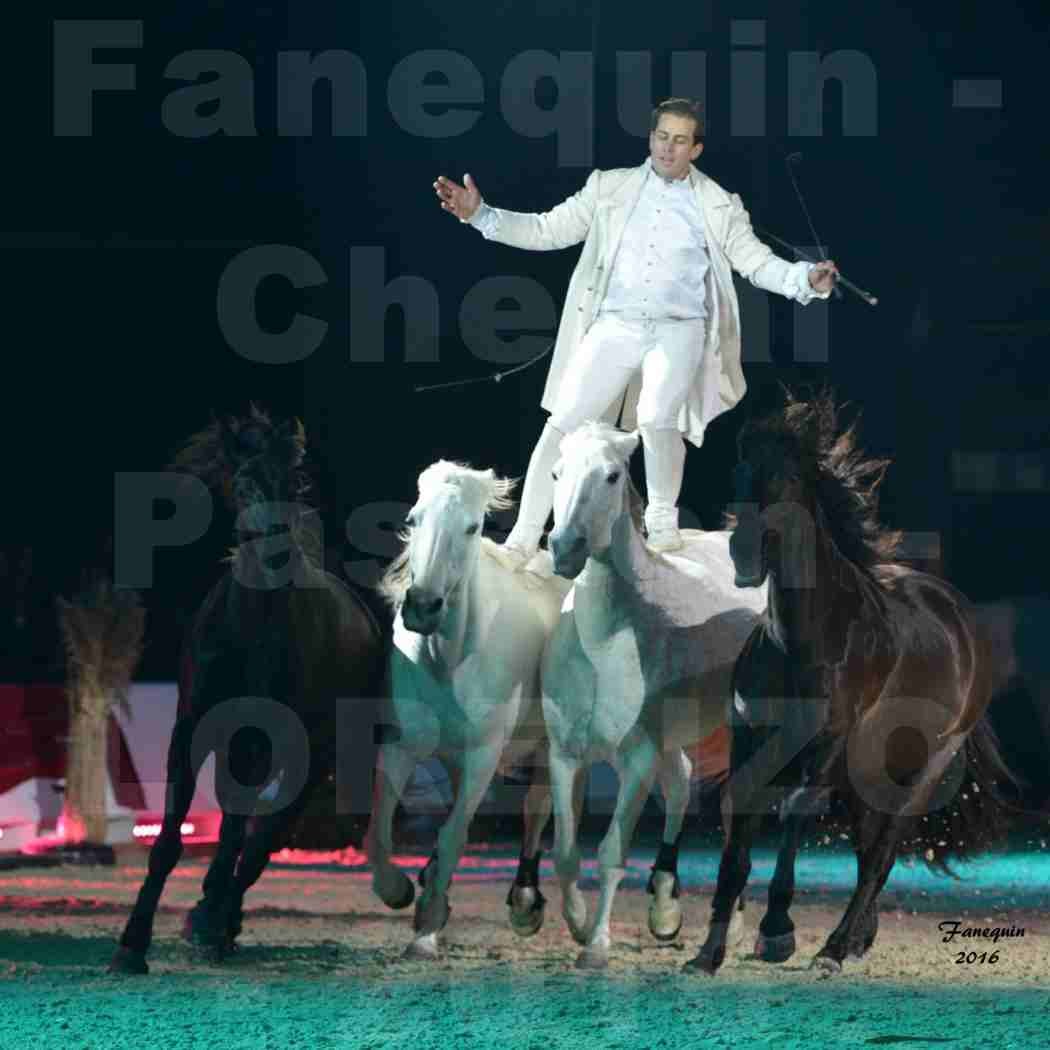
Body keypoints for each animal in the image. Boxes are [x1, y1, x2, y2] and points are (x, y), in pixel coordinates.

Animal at [108, 405, 386, 970]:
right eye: (242, 481)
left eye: (293, 480)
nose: (275, 552)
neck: (250, 630)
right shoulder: (194, 730)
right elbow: (172, 840)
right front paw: (133, 943)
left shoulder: (267, 740)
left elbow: (243, 829)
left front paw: (209, 920)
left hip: (311, 751)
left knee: (265, 835)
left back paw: (219, 917)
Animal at [367, 464, 571, 957]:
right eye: (413, 518)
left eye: (473, 527)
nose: (422, 607)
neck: (447, 659)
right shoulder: (402, 744)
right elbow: (378, 832)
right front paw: (401, 891)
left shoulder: (484, 754)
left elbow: (455, 833)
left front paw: (425, 930)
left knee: (538, 806)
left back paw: (525, 901)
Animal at [541, 422, 764, 970]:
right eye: (556, 472)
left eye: (611, 475)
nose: (565, 548)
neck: (606, 643)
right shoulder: (564, 754)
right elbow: (566, 851)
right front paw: (578, 924)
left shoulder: (637, 757)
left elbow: (611, 851)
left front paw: (596, 947)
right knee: (685, 784)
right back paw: (666, 909)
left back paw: (737, 929)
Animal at [684, 392, 1012, 974]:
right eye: (740, 474)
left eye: (788, 481)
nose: (742, 552)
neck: (804, 637)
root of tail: (962, 620)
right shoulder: (751, 737)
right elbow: (737, 829)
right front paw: (708, 954)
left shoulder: (828, 742)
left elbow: (795, 809)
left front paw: (776, 934)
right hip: (867, 773)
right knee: (867, 849)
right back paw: (858, 939)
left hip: (922, 769)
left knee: (882, 853)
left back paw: (834, 950)